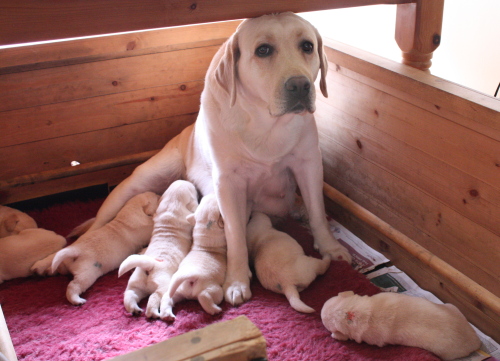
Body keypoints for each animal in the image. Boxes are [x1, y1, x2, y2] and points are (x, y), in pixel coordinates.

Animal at [118, 180, 198, 318]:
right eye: (193, 189)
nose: (188, 181)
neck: (172, 207)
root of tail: (150, 266)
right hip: (162, 285)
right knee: (154, 297)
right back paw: (153, 313)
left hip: (135, 283)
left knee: (130, 295)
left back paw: (135, 309)